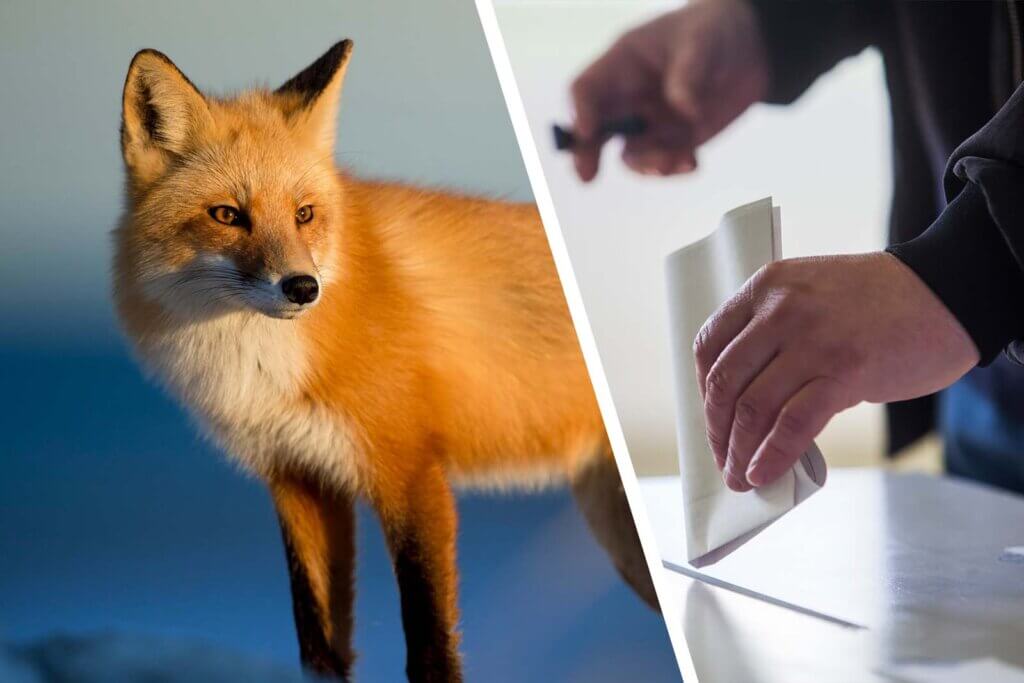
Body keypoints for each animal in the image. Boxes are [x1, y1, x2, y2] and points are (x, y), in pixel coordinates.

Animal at [113, 40, 656, 682]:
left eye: (303, 214)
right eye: (227, 215)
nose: (303, 287)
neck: (267, 370)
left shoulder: (410, 471)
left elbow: (429, 645)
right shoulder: (299, 478)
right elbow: (318, 641)